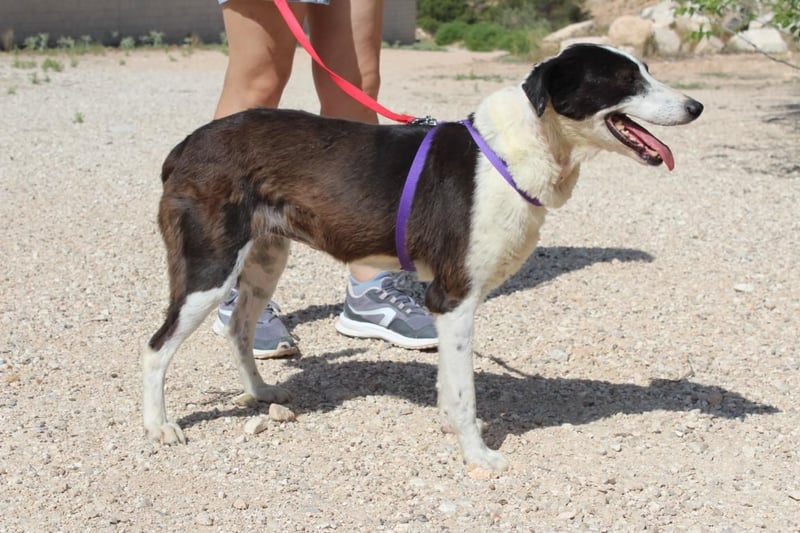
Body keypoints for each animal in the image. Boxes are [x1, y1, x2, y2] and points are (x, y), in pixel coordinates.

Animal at [143, 44, 703, 471]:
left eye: (646, 69)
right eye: (625, 80)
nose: (697, 106)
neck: (513, 151)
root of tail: (188, 144)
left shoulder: (446, 304)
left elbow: (448, 386)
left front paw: (451, 429)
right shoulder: (454, 298)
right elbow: (465, 392)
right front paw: (479, 456)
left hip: (264, 259)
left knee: (238, 329)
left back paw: (262, 392)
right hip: (210, 269)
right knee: (156, 347)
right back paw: (159, 427)